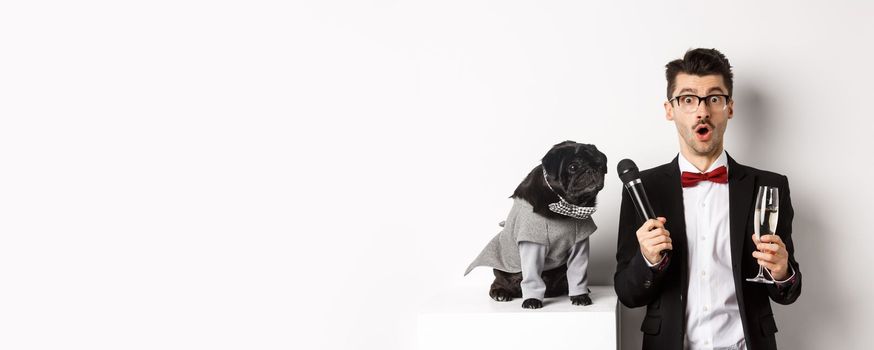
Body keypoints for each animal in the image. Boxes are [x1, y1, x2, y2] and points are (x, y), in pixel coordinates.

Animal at [464, 140, 608, 308]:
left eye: (600, 165)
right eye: (573, 167)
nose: (592, 170)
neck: (566, 205)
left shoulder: (580, 245)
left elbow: (578, 274)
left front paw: (580, 296)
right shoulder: (532, 244)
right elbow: (532, 277)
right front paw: (531, 300)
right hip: (504, 273)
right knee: (499, 283)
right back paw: (501, 293)